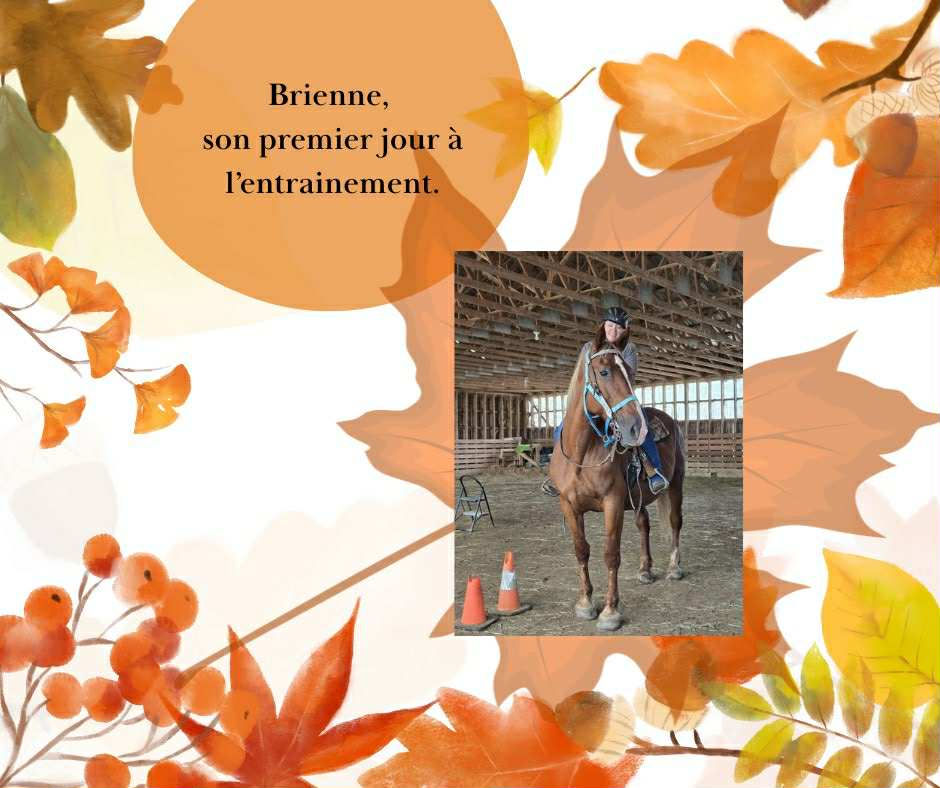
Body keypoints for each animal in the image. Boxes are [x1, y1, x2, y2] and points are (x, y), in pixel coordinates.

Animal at [547, 325, 686, 632]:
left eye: (628, 372)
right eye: (604, 371)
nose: (636, 427)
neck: (582, 454)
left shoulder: (612, 503)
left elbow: (611, 554)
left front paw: (610, 612)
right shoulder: (568, 505)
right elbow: (581, 550)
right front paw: (585, 603)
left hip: (676, 485)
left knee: (674, 522)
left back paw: (674, 568)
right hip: (637, 498)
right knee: (644, 524)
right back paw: (645, 570)